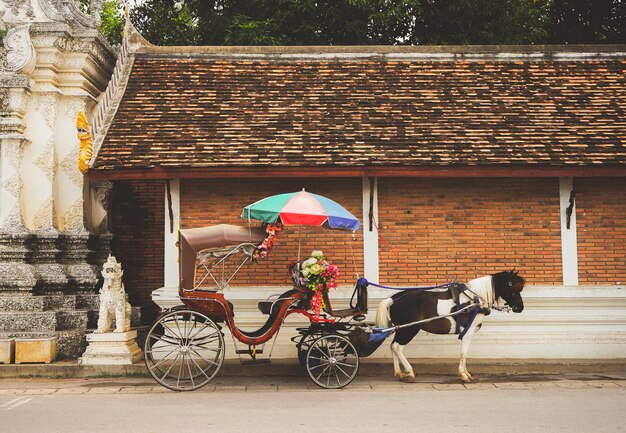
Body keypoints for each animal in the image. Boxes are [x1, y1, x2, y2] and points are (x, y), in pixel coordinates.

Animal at [372, 270, 524, 382]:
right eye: (511, 284)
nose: (520, 307)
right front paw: (464, 375)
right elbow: (464, 353)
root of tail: (393, 299)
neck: (475, 300)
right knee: (397, 347)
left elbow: (464, 353)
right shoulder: (468, 332)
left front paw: (466, 373)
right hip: (409, 329)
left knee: (393, 346)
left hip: (402, 330)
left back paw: (399, 373)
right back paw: (410, 372)